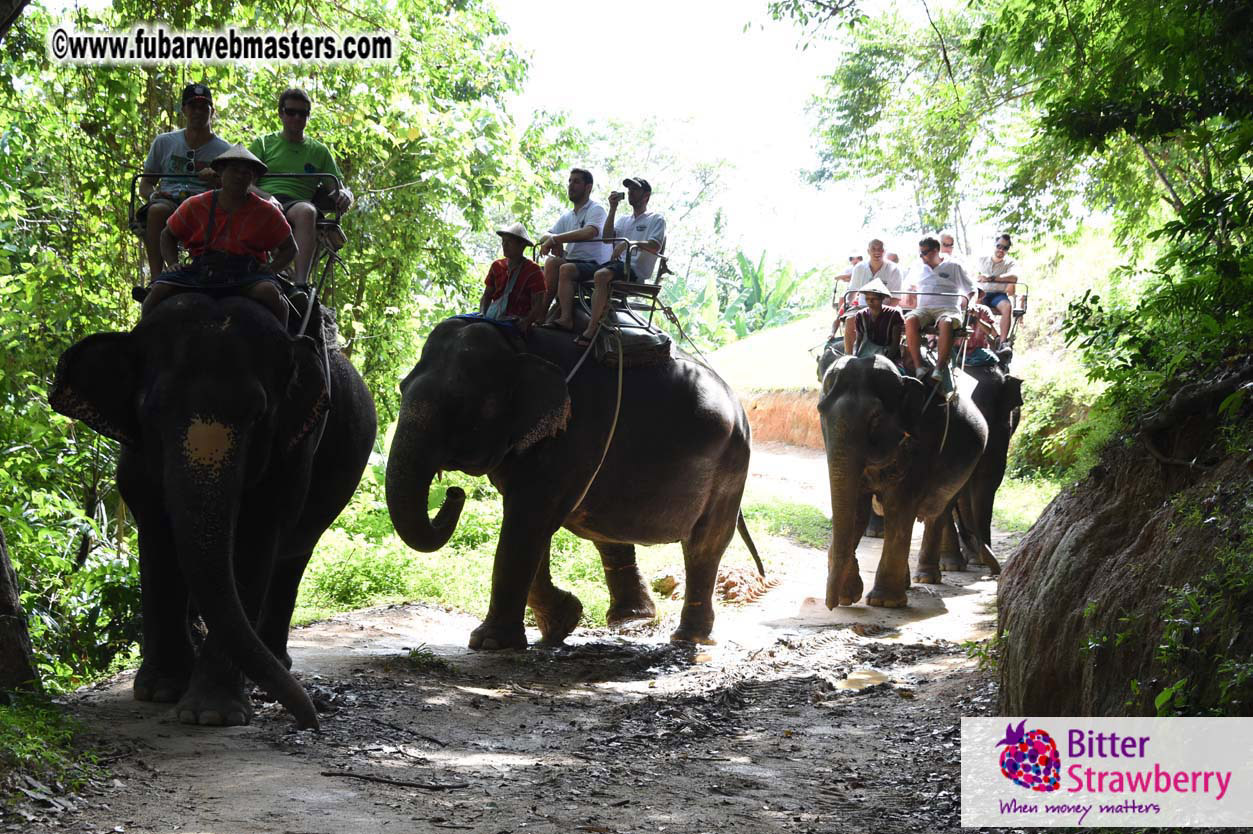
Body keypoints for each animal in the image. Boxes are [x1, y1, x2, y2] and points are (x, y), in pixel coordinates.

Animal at [49, 293, 377, 729]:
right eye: (152, 412)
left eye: (258, 415)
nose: (312, 719)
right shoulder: (133, 451)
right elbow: (156, 528)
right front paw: (160, 691)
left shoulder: (293, 450)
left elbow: (255, 538)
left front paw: (211, 714)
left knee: (293, 558)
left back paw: (274, 665)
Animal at [385, 316, 757, 650]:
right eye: (402, 387)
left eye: (460, 405)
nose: (454, 492)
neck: (516, 341)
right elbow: (531, 526)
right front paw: (562, 623)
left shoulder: (574, 434)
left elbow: (527, 522)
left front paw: (488, 643)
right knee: (607, 532)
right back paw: (630, 621)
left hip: (731, 467)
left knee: (704, 545)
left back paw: (687, 638)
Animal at [818, 354, 988, 607]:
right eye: (821, 411)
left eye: (875, 418)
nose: (830, 605)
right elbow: (857, 509)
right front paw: (849, 596)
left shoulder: (925, 444)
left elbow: (899, 505)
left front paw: (883, 602)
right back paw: (910, 582)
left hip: (966, 467)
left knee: (939, 512)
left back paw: (928, 576)